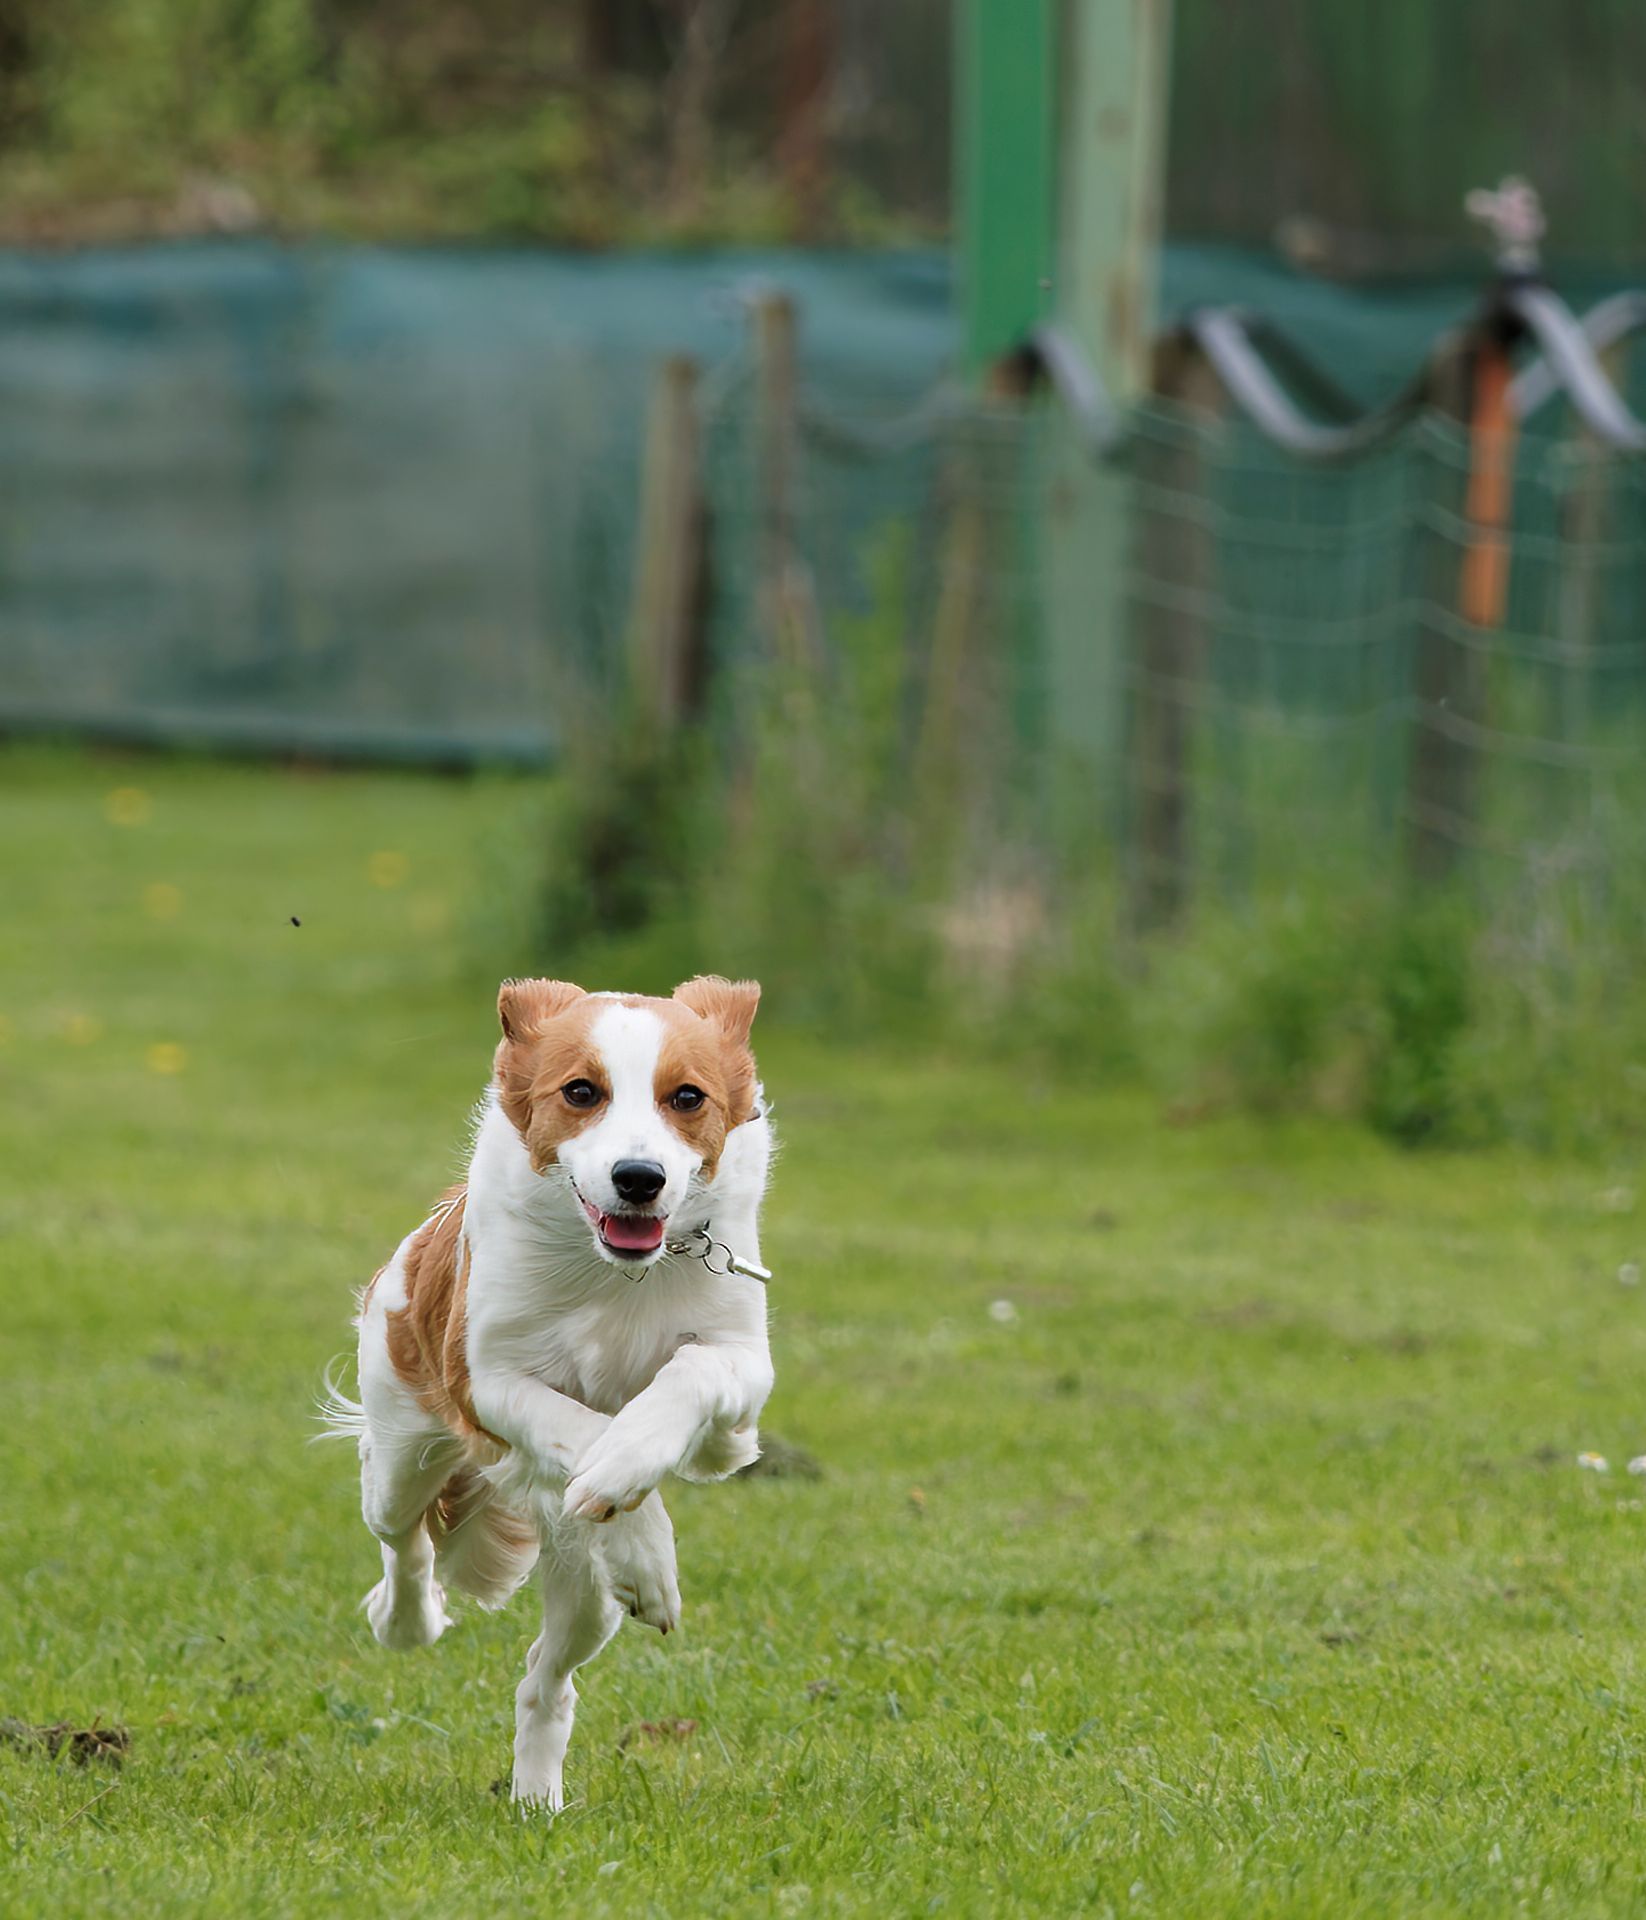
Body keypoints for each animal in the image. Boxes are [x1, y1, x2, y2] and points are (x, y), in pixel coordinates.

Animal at [322, 974, 774, 1810]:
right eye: (581, 1091)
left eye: (687, 1097)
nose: (639, 1179)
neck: (611, 1272)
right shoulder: (484, 1379)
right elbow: (578, 1423)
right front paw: (641, 1534)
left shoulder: (740, 1386)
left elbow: (682, 1381)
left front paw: (626, 1492)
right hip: (403, 1456)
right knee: (402, 1536)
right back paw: (405, 1622)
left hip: (586, 1596)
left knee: (546, 1678)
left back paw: (536, 1802)